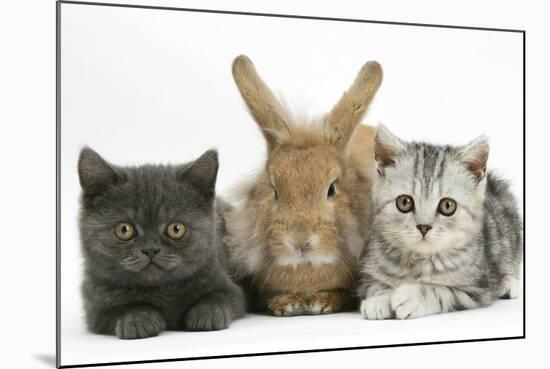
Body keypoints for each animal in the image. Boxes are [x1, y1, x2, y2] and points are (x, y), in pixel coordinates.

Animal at [78, 147, 247, 336]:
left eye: (176, 229)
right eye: (124, 230)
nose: (151, 250)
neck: (163, 291)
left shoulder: (228, 285)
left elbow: (219, 297)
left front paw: (207, 315)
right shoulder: (95, 308)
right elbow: (123, 308)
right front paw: (139, 320)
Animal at [360, 125, 524, 318]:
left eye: (447, 205)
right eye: (404, 202)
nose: (424, 227)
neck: (419, 261)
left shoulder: (476, 289)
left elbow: (440, 291)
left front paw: (411, 296)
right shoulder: (370, 271)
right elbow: (376, 285)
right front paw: (379, 299)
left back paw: (508, 284)